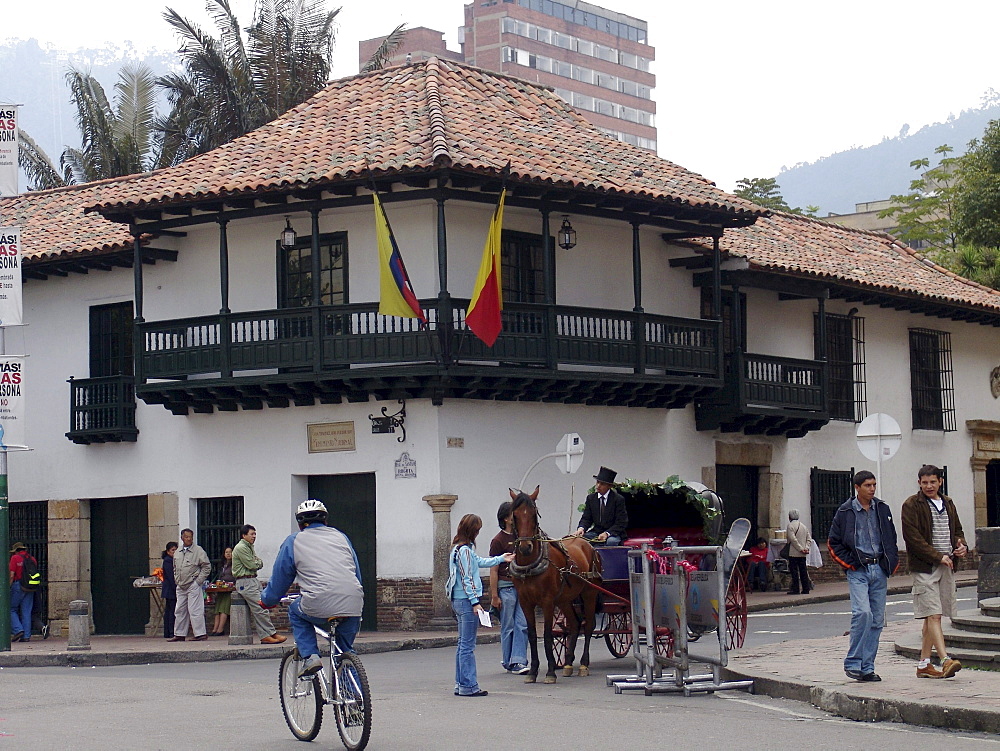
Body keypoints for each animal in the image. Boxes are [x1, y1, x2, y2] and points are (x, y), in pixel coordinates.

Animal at [508, 484, 600, 684]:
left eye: (534, 514)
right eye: (515, 515)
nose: (525, 547)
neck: (530, 566)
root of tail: (587, 544)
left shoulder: (547, 601)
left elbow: (548, 635)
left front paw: (550, 671)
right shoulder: (526, 602)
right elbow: (532, 635)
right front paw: (533, 671)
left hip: (589, 592)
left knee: (588, 624)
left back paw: (583, 664)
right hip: (564, 599)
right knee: (575, 624)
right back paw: (568, 664)